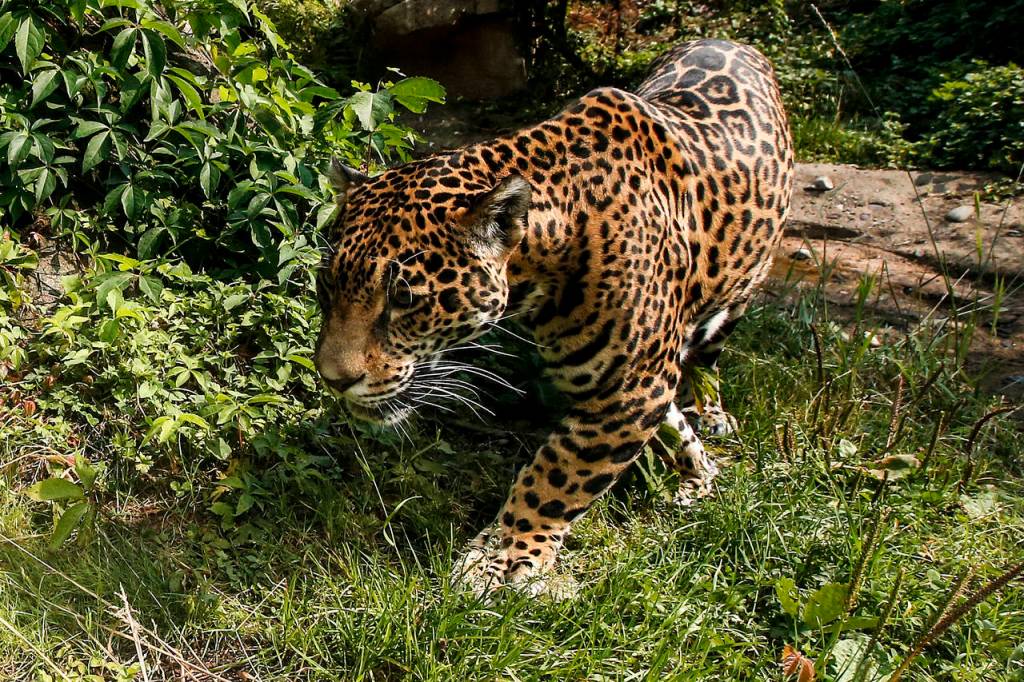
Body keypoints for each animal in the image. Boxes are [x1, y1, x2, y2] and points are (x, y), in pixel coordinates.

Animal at [313, 39, 794, 595]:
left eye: (405, 299)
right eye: (327, 286)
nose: (333, 380)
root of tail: (731, 42)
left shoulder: (630, 389)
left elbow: (557, 475)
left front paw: (502, 557)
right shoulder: (646, 378)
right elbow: (666, 424)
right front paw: (697, 472)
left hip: (743, 293)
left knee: (709, 359)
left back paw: (713, 413)